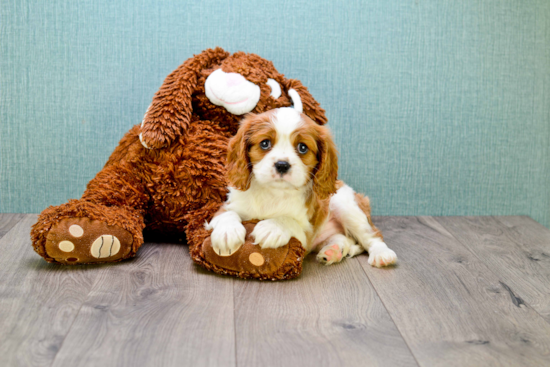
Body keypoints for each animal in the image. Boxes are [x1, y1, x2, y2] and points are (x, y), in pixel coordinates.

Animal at [206, 107, 396, 268]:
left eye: (302, 147)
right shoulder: (227, 206)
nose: (282, 165)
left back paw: (382, 254)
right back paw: (333, 251)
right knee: (342, 237)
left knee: (373, 235)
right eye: (265, 144)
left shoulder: (304, 237)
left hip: (345, 205)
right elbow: (227, 214)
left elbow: (288, 220)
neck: (273, 193)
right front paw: (227, 233)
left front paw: (272, 228)